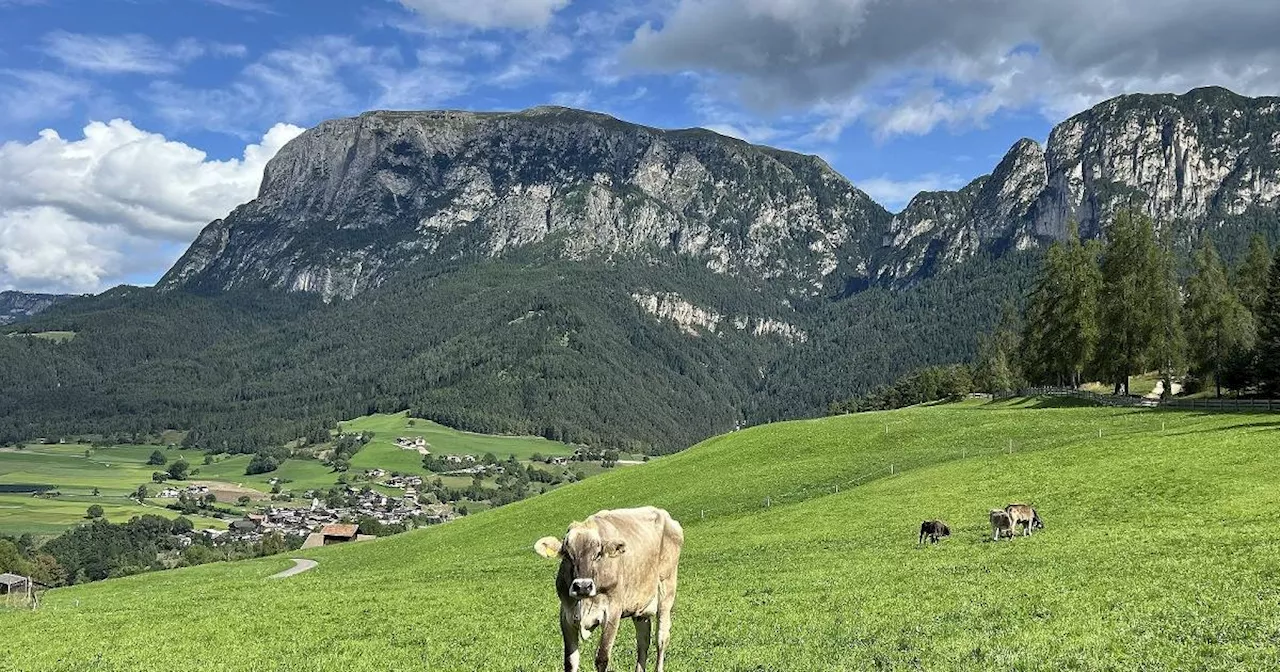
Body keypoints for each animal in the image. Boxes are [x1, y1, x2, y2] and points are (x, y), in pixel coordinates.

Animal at [535, 501, 686, 670]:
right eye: (567, 555)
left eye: (598, 554)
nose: (583, 586)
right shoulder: (566, 616)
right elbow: (570, 662)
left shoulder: (612, 612)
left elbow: (602, 658)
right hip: (639, 607)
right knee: (643, 642)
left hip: (666, 592)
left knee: (661, 639)